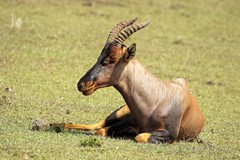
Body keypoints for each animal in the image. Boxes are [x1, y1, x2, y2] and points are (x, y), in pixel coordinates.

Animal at [62, 17, 204, 144]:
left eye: (112, 57)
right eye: (100, 55)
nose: (82, 84)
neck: (157, 99)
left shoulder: (170, 134)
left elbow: (140, 136)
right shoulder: (129, 120)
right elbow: (101, 131)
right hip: (120, 112)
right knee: (96, 125)